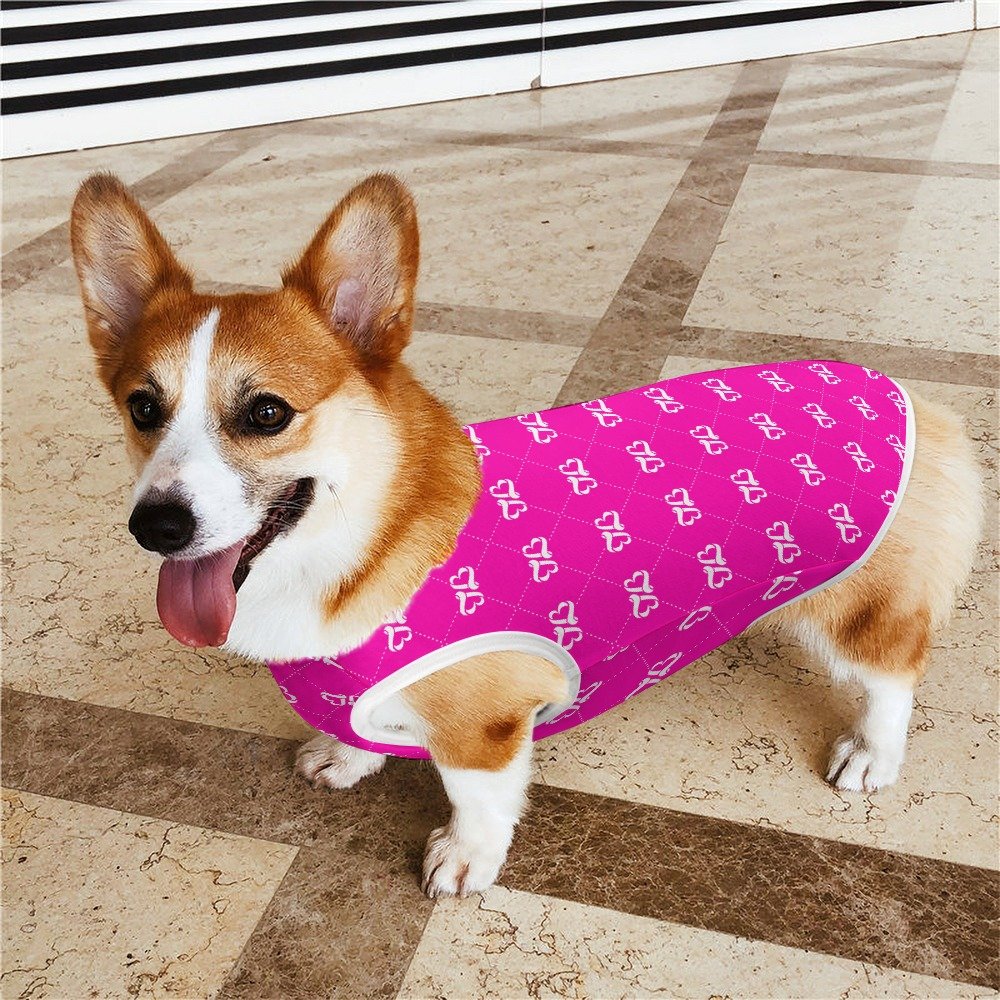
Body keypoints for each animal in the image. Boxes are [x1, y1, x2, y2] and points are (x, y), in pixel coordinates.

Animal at [71, 172, 982, 898]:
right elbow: (360, 732)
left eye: (266, 414)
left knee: (896, 671)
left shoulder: (483, 726)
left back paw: (873, 755)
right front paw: (347, 759)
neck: (367, 542)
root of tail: (911, 395)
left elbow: (478, 801)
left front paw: (464, 862)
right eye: (142, 408)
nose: (156, 526)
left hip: (859, 615)